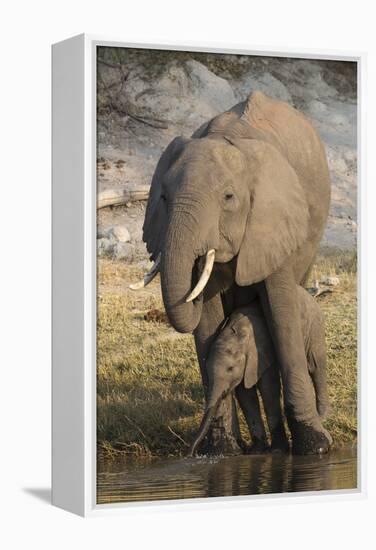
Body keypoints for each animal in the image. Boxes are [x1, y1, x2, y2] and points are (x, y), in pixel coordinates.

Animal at [191, 286, 328, 460]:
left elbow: (268, 388)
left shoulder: (261, 351)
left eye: (230, 369)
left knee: (316, 365)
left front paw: (277, 451)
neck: (236, 335)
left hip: (314, 322)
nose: (192, 453)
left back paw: (322, 415)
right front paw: (257, 451)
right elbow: (245, 393)